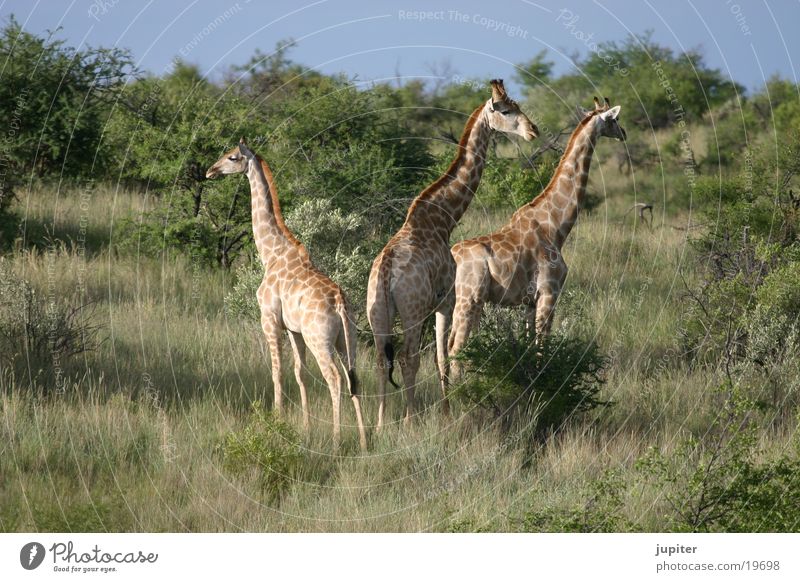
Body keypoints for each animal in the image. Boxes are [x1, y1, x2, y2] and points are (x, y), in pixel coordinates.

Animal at [206, 139, 368, 454]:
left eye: (232, 157)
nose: (210, 171)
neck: (271, 252)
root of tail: (340, 304)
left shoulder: (269, 318)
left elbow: (277, 371)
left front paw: (276, 424)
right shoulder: (294, 330)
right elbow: (298, 373)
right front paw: (304, 428)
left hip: (321, 340)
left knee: (334, 378)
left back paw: (336, 441)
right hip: (347, 340)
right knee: (353, 376)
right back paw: (366, 442)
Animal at [368, 80, 536, 432]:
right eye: (506, 110)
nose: (533, 131)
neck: (442, 219)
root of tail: (387, 272)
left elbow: (441, 356)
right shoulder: (446, 300)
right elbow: (443, 356)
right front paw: (447, 411)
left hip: (376, 312)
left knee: (381, 359)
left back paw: (379, 425)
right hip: (412, 311)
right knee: (408, 357)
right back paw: (410, 419)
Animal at [450, 97, 624, 360]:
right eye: (614, 119)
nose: (623, 133)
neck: (554, 224)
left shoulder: (529, 302)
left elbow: (530, 347)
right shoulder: (549, 293)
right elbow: (543, 349)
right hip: (469, 298)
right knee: (455, 349)